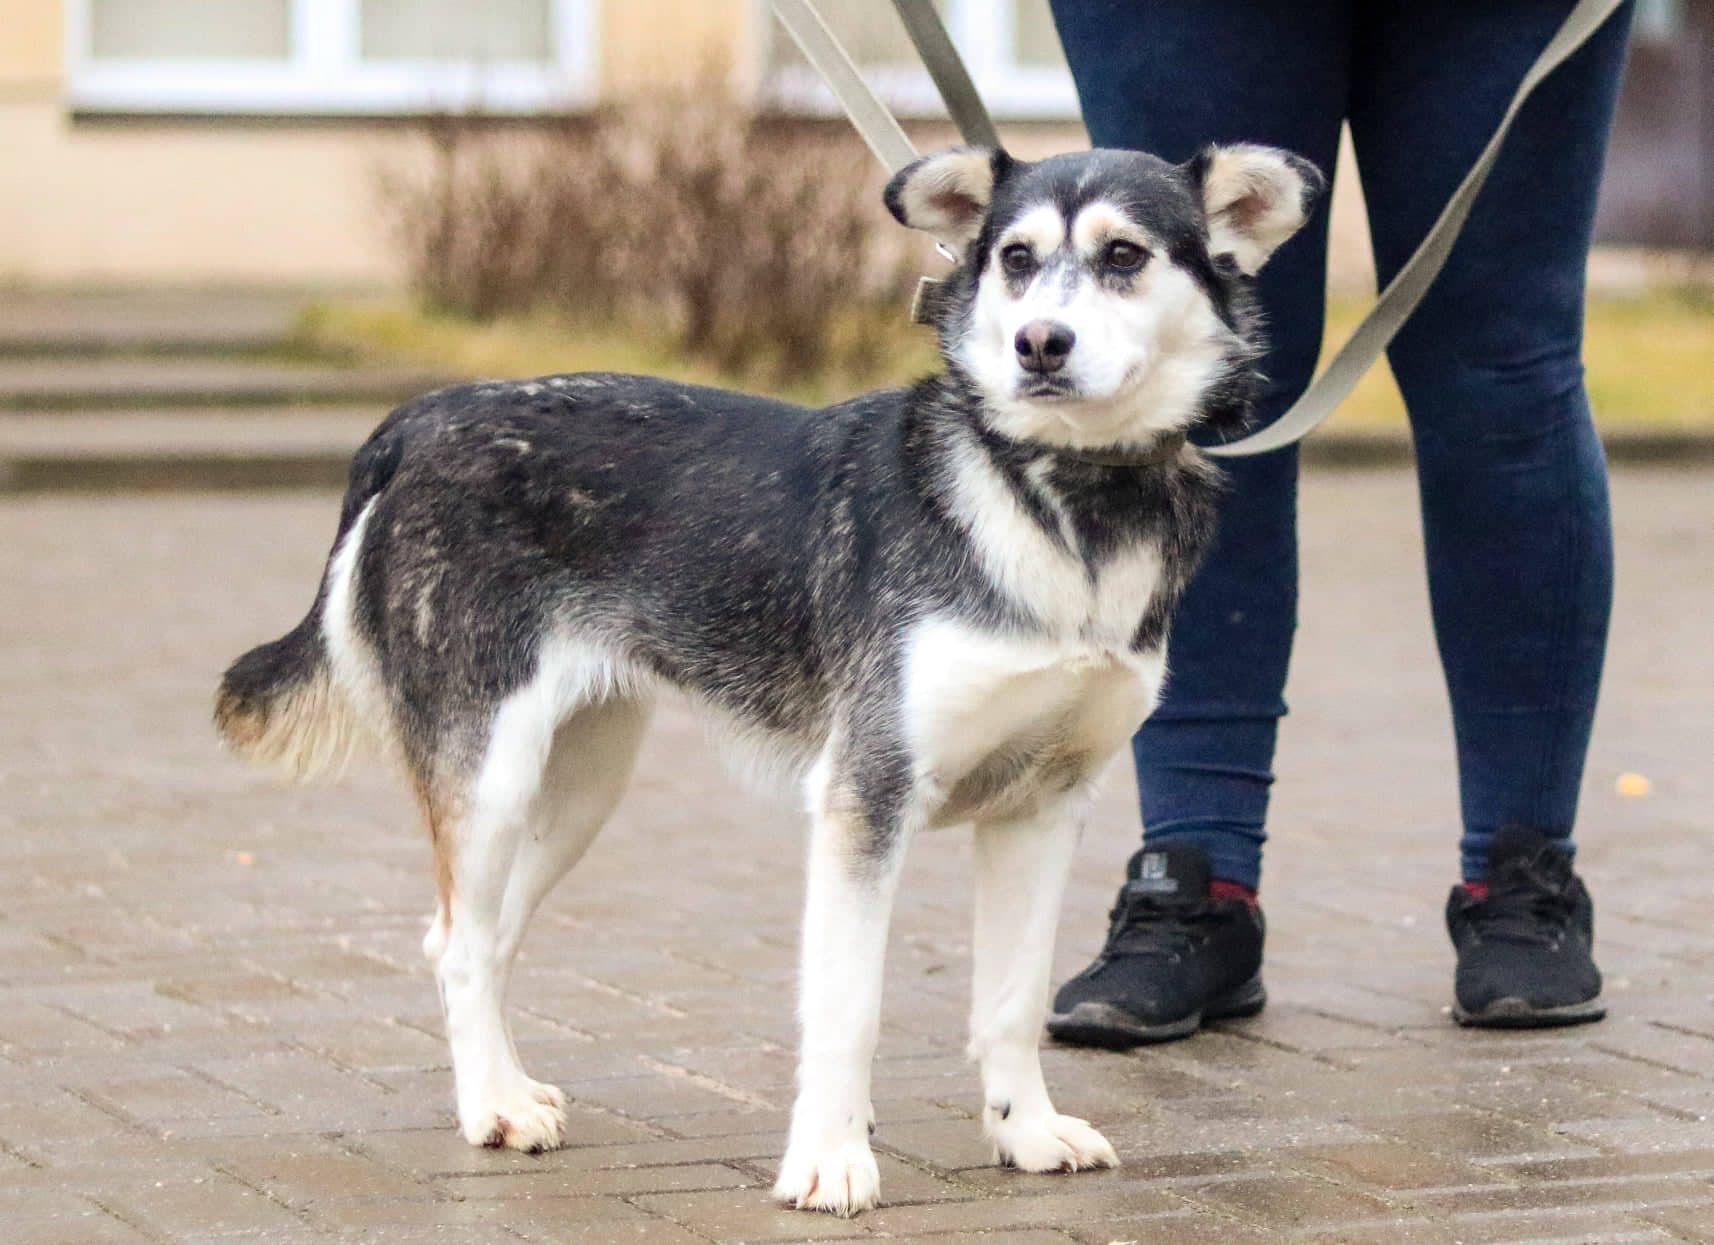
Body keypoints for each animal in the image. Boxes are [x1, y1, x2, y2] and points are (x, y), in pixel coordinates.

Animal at [215, 142, 1320, 1216]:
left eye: (1124, 255)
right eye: (1015, 258)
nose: (1038, 343)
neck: (1061, 502)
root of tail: (423, 417)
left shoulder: (1042, 808)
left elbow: (1009, 1002)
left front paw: (1026, 1131)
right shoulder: (865, 797)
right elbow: (847, 1008)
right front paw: (830, 1162)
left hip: (576, 789)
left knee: (470, 937)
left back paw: (509, 1085)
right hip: (492, 773)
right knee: (457, 943)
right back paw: (492, 1105)